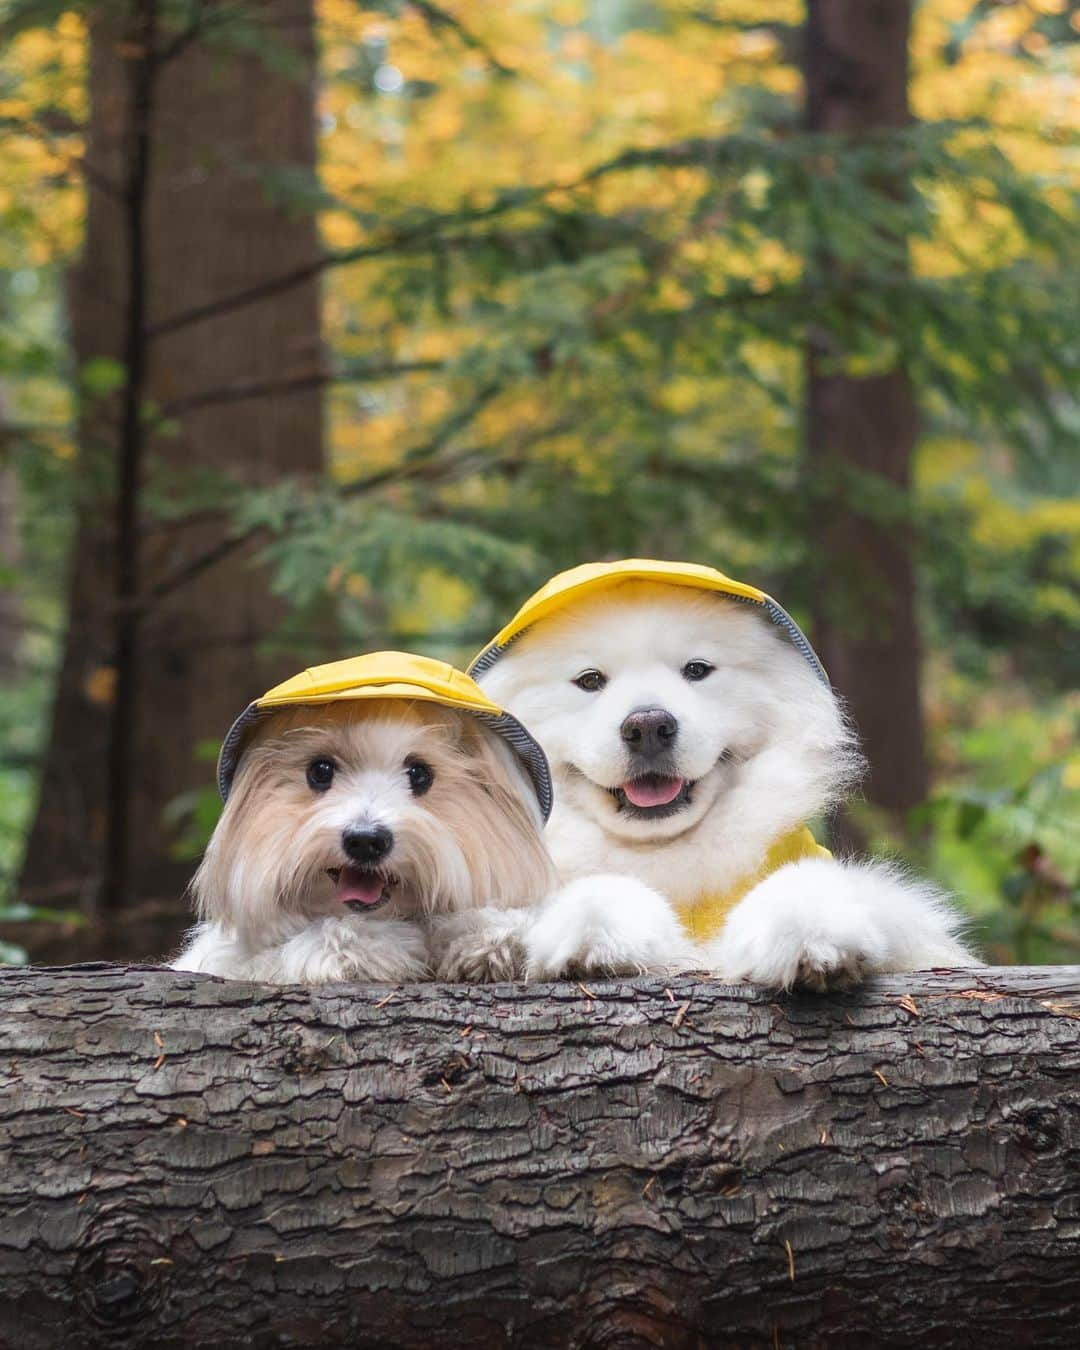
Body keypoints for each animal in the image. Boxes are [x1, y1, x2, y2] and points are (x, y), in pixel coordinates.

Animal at [472, 564, 977, 988]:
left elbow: (814, 885)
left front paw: (805, 933)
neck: (669, 853)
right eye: (590, 680)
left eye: (697, 670)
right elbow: (597, 894)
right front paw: (594, 933)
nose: (648, 726)